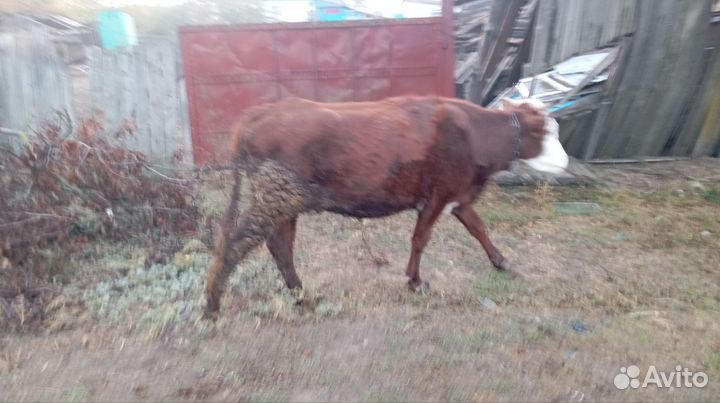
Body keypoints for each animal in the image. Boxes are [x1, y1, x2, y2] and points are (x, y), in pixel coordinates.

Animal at [204, 96, 563, 317]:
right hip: (275, 197)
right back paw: (212, 306)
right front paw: (415, 282)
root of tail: (262, 111)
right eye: (546, 131)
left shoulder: (458, 196)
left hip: (284, 203)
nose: (564, 162)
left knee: (279, 246)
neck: (475, 133)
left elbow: (479, 229)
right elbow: (420, 239)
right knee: (237, 243)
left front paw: (503, 263)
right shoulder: (437, 195)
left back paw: (302, 296)